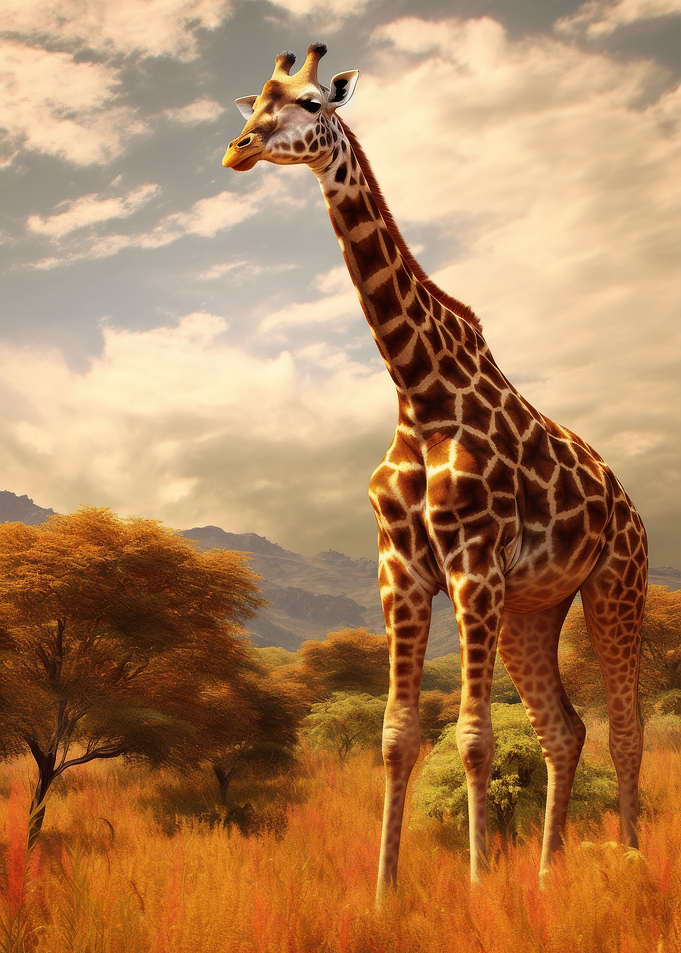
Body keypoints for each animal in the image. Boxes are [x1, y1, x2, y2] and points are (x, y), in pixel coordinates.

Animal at [222, 43, 648, 904]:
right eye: (260, 100)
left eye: (313, 103)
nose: (239, 148)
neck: (417, 390)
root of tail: (634, 513)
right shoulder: (402, 569)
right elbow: (396, 735)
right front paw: (386, 894)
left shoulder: (472, 564)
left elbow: (474, 738)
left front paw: (480, 886)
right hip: (532, 610)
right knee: (564, 728)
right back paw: (547, 872)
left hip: (615, 584)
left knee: (624, 726)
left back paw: (625, 859)